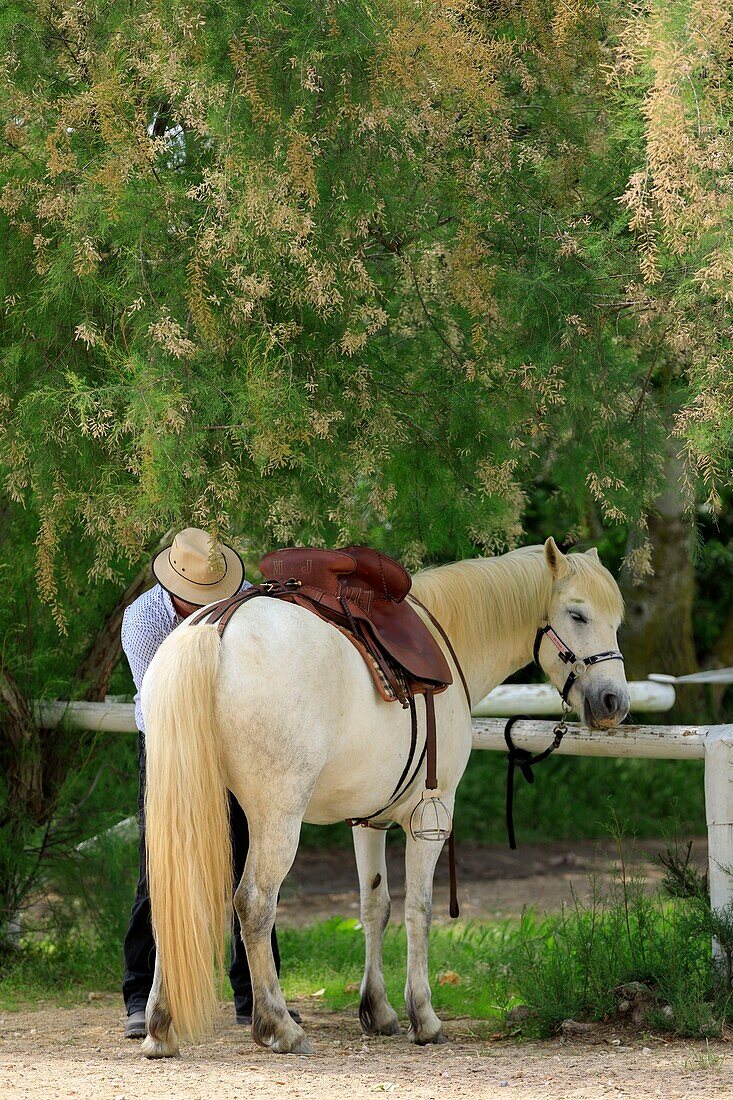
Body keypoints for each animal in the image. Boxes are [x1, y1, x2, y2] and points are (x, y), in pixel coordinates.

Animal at [139, 539, 625, 1056]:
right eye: (577, 614)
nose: (614, 702)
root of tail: (216, 624)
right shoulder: (431, 815)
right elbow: (419, 909)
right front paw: (423, 1017)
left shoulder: (367, 820)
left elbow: (376, 907)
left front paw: (377, 1010)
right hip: (277, 817)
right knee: (254, 903)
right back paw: (278, 1025)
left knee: (169, 900)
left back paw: (160, 1027)